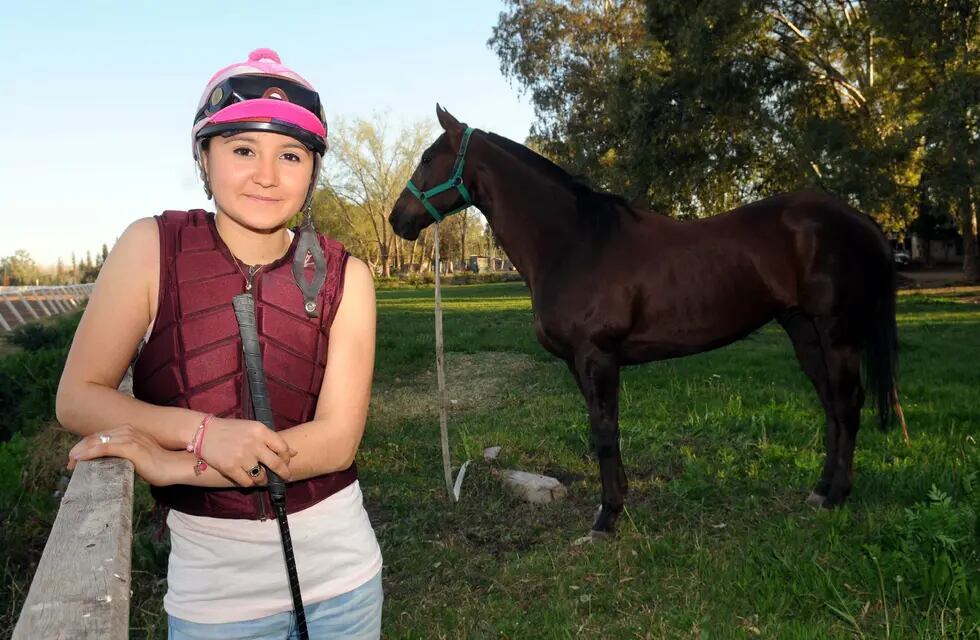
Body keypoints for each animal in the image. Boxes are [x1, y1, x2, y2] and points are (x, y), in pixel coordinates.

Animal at [388, 107, 904, 536]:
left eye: (429, 158)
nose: (397, 219)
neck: (574, 242)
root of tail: (862, 221)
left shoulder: (597, 357)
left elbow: (604, 433)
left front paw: (607, 519)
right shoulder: (581, 364)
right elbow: (603, 431)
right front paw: (614, 505)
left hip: (837, 333)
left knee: (848, 405)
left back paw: (836, 496)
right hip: (804, 332)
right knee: (832, 407)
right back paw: (820, 490)